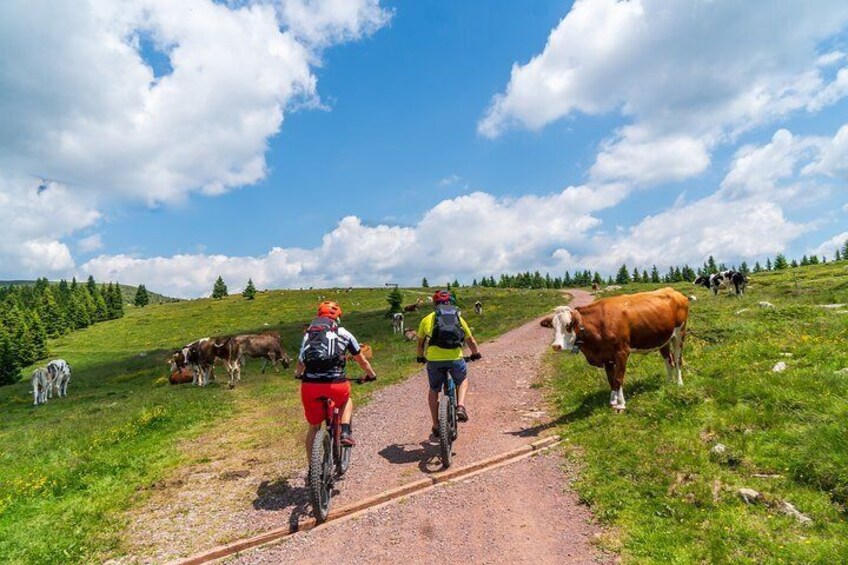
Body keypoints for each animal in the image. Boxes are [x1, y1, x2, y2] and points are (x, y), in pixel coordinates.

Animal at [548, 288, 688, 412]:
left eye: (568, 325)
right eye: (553, 326)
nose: (556, 346)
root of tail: (674, 292)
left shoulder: (622, 352)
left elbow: (618, 378)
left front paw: (621, 405)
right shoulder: (606, 356)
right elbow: (611, 380)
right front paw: (613, 401)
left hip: (679, 334)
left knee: (677, 360)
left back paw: (679, 383)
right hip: (663, 338)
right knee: (668, 360)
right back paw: (669, 382)